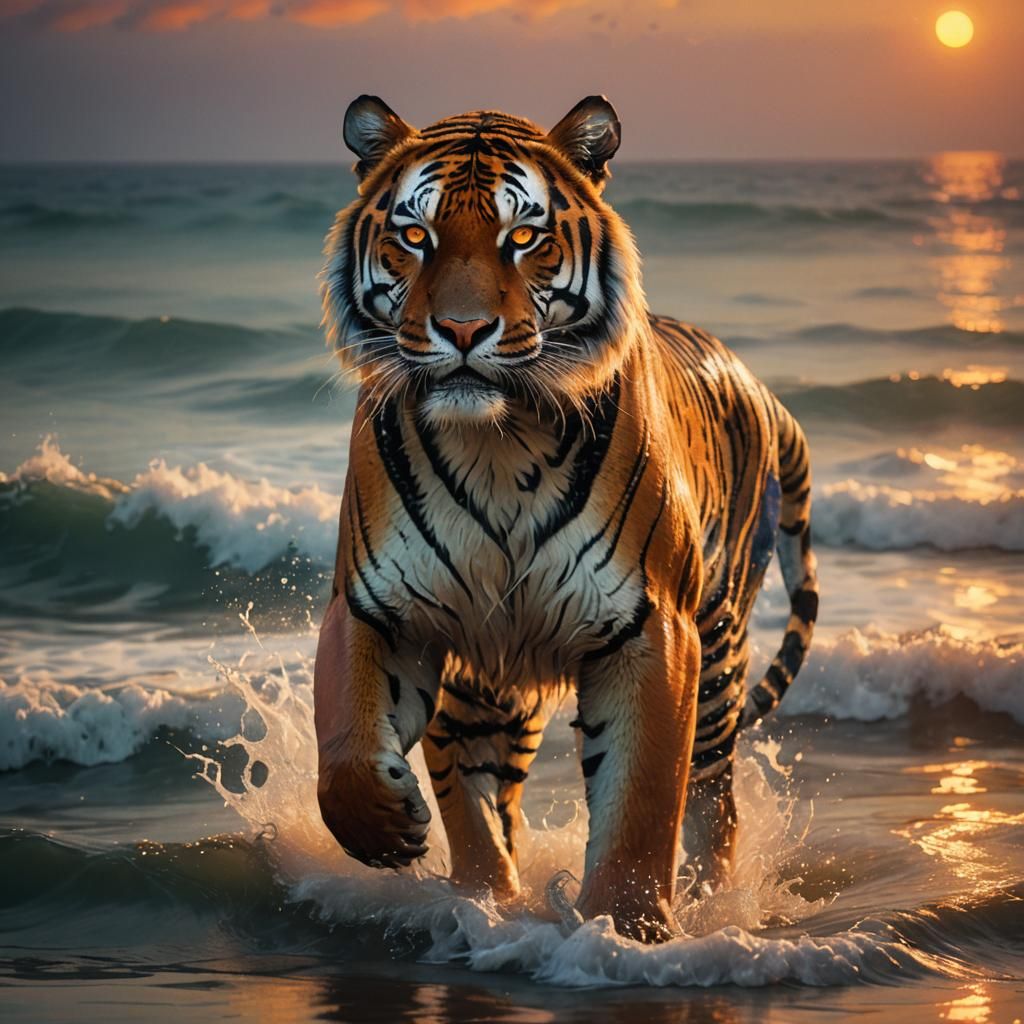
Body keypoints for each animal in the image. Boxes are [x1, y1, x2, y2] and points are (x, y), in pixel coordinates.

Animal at [314, 94, 819, 943]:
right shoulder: (377, 605)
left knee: (714, 797)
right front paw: (396, 833)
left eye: (524, 238)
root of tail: (757, 384)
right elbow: (352, 747)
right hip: (492, 679)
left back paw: (717, 901)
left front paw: (626, 932)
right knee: (475, 771)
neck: (496, 446)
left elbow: (641, 801)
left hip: (719, 654)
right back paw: (490, 895)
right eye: (415, 236)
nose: (462, 331)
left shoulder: (651, 628)